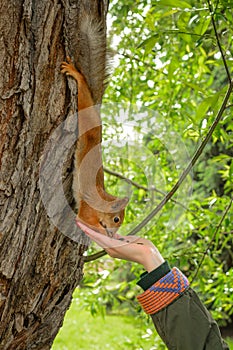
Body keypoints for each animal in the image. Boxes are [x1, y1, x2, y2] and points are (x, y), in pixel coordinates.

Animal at [61, 58, 128, 238]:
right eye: (116, 219)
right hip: (87, 120)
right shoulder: (87, 210)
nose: (112, 234)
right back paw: (77, 75)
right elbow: (86, 221)